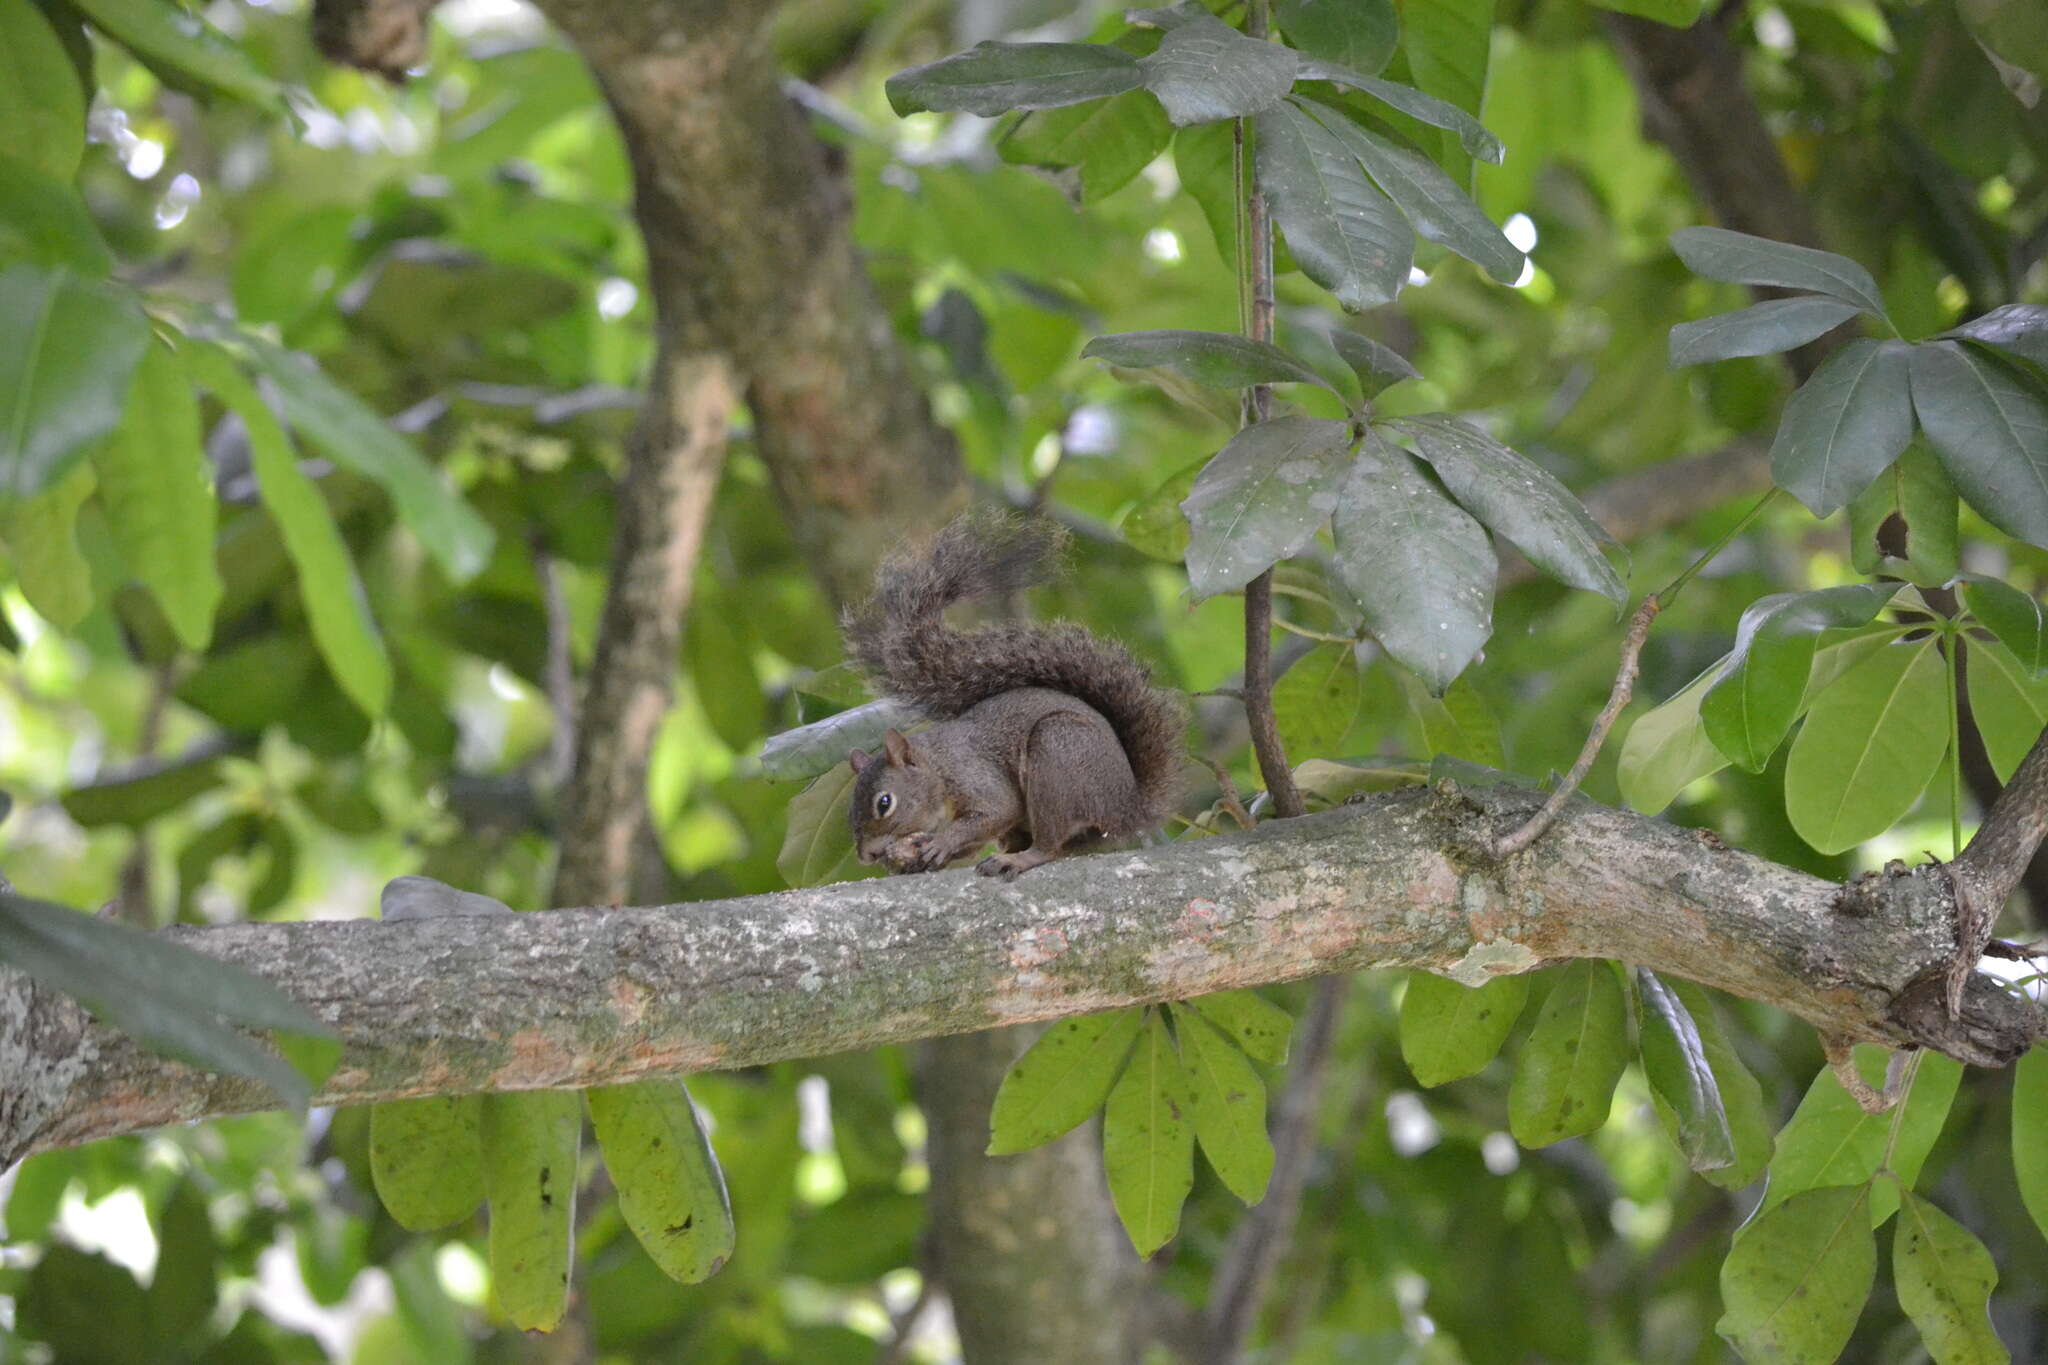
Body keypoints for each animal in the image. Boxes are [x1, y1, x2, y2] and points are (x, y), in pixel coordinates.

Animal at [835, 507, 1187, 879]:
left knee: (1050, 844)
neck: (937, 767)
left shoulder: (974, 776)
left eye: (884, 803)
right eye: (850, 810)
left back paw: (1019, 858)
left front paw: (941, 841)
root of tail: (1126, 808)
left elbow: (996, 810)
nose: (867, 855)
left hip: (1058, 755)